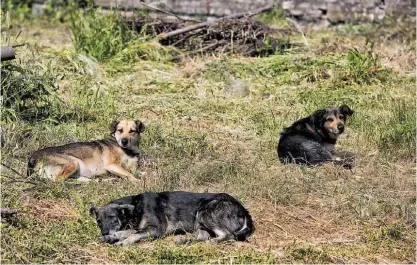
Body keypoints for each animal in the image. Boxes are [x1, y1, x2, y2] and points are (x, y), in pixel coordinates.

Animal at [90, 190, 254, 245]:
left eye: (112, 217)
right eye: (98, 221)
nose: (104, 232)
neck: (136, 206)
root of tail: (243, 209)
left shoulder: (156, 229)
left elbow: (132, 235)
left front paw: (122, 242)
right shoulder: (141, 227)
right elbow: (123, 232)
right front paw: (109, 237)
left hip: (204, 212)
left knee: (227, 235)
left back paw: (211, 242)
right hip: (200, 223)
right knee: (202, 237)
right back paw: (185, 241)